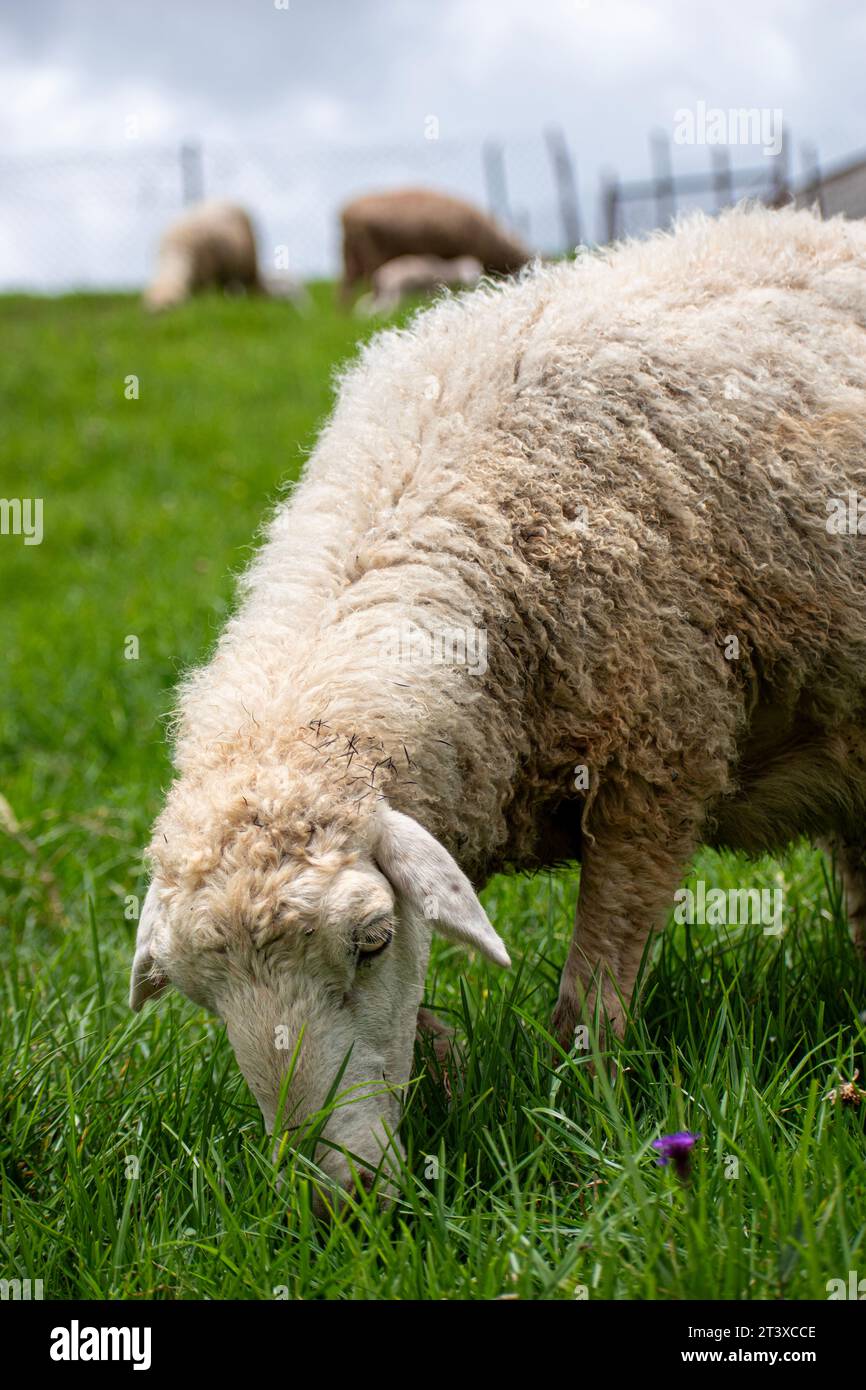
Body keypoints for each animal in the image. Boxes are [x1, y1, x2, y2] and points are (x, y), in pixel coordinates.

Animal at [355, 251, 483, 316]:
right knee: (384, 308)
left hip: (385, 292)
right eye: (466, 268)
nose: (474, 280)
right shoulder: (429, 287)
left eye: (478, 269)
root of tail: (377, 276)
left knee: (367, 305)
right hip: (392, 291)